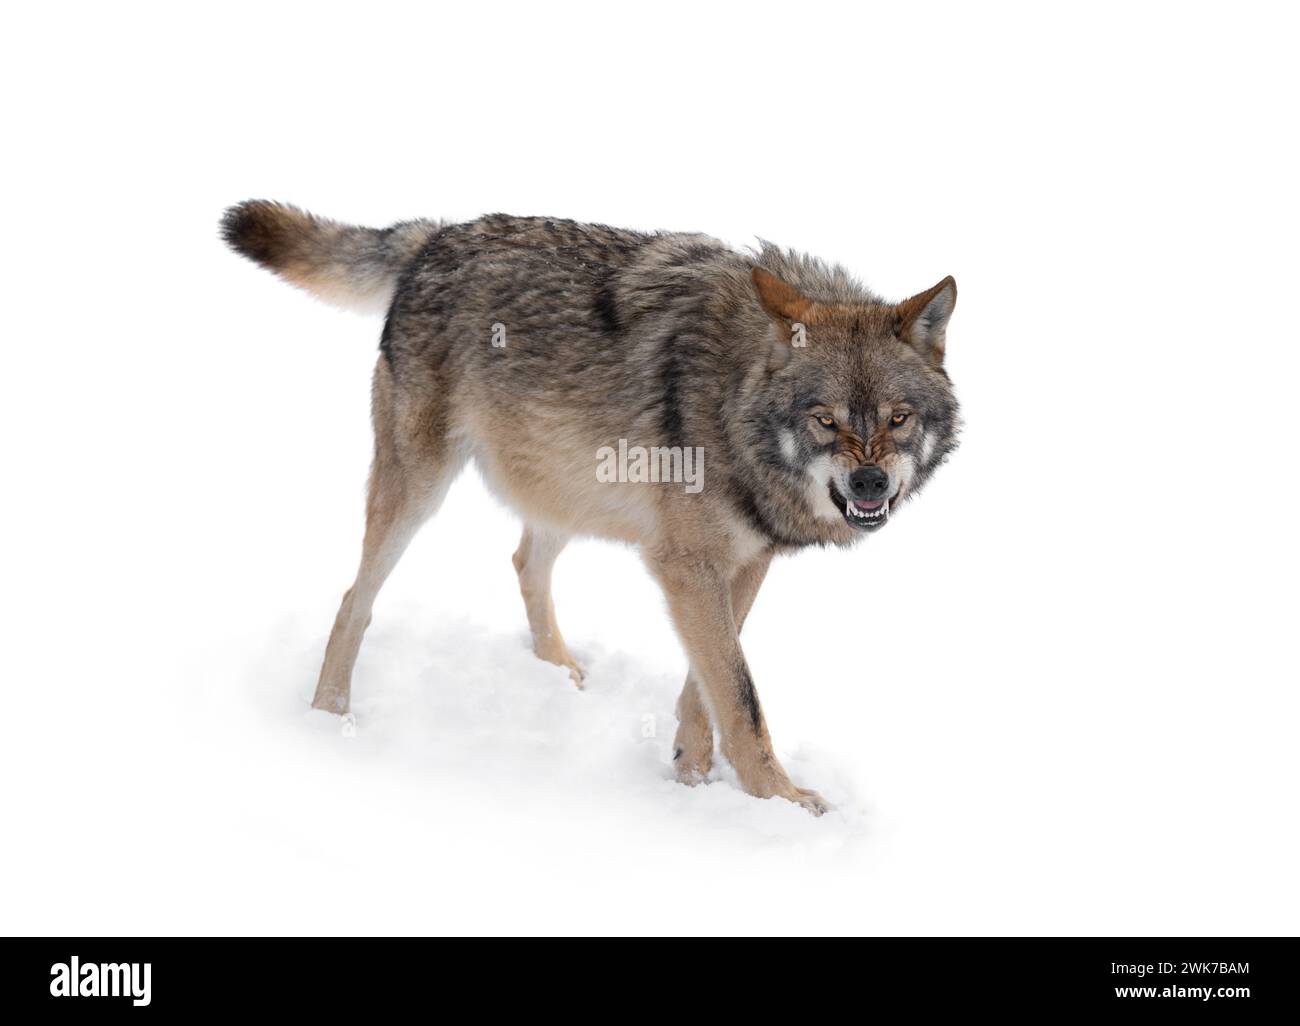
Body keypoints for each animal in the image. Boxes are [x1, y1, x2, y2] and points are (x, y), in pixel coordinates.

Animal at [220, 200, 956, 811]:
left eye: (898, 418)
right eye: (826, 421)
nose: (870, 485)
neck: (735, 397)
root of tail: (437, 235)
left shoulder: (741, 565)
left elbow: (708, 687)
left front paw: (691, 778)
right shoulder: (687, 566)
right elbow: (740, 696)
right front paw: (781, 802)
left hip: (565, 485)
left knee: (523, 561)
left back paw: (559, 672)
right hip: (421, 487)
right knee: (356, 597)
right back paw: (329, 716)